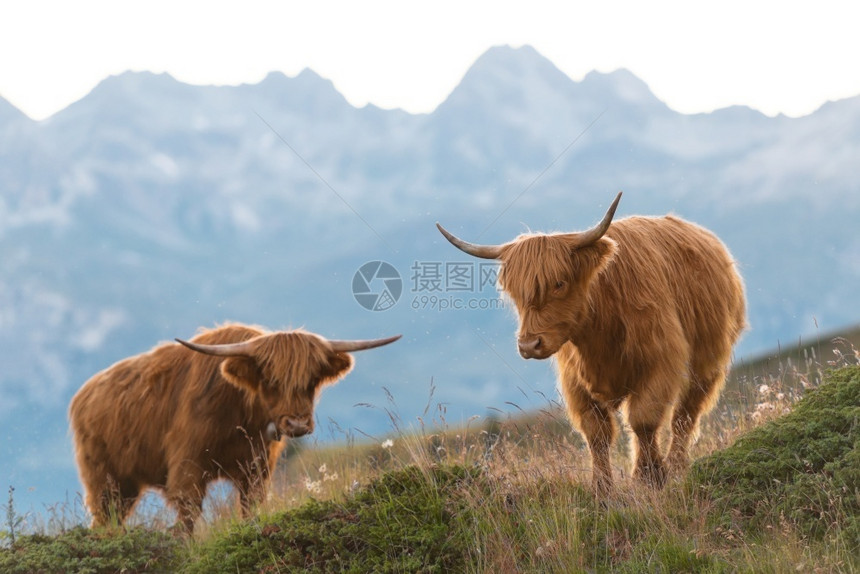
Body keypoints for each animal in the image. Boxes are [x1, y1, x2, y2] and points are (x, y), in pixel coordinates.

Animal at [69, 324, 400, 536]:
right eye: (270, 380)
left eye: (312, 379)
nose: (297, 424)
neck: (241, 415)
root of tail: (83, 394)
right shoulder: (187, 466)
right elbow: (188, 514)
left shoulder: (256, 468)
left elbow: (249, 507)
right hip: (104, 480)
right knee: (104, 519)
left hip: (125, 486)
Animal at [436, 195, 744, 496]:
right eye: (514, 293)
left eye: (559, 283)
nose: (529, 345)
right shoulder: (575, 381)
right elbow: (596, 433)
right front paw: (602, 488)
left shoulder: (661, 363)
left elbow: (643, 420)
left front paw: (650, 477)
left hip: (706, 365)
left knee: (685, 415)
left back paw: (677, 465)